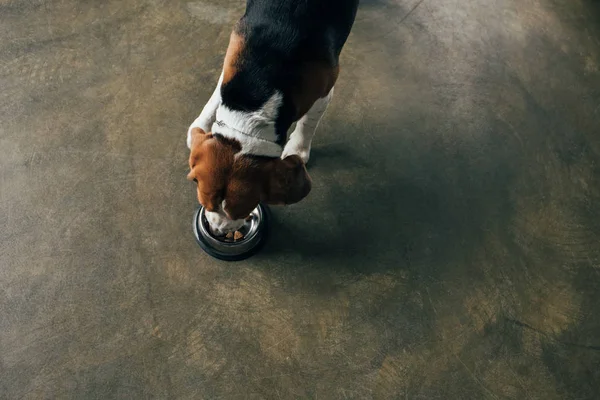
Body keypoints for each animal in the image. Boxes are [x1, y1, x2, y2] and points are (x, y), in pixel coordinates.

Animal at [185, 0, 358, 236]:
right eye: (207, 204)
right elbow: (219, 91)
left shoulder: (324, 92)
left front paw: (298, 149)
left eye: (241, 211)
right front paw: (202, 123)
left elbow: (307, 123)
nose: (218, 230)